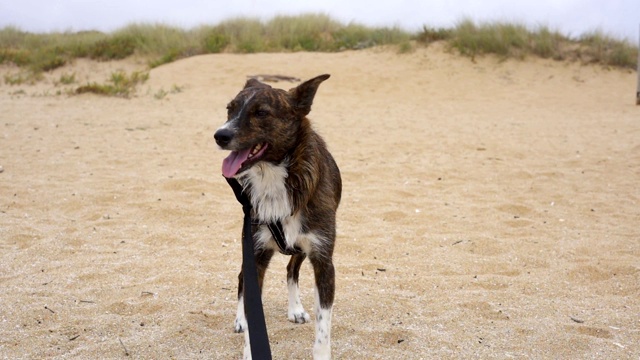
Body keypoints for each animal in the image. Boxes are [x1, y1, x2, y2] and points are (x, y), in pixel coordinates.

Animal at [215, 74, 342, 358]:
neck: (274, 176)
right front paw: (249, 345)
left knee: (291, 270)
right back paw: (240, 319)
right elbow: (252, 309)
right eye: (229, 109)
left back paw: (295, 309)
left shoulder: (323, 259)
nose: (220, 135)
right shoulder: (256, 255)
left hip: (300, 247)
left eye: (261, 112)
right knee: (242, 279)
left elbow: (323, 326)